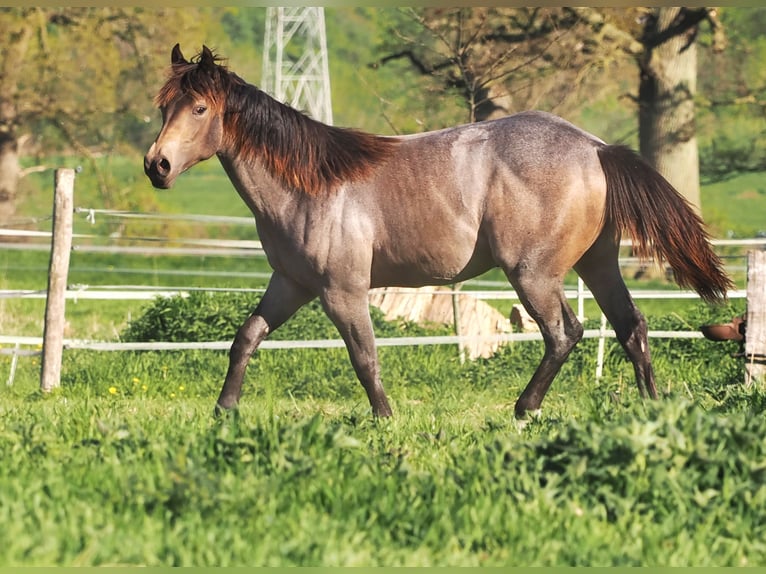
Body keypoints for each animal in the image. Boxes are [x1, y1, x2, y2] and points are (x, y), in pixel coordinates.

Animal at [144, 44, 733, 420]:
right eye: (165, 106)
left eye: (200, 108)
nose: (157, 166)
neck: (313, 186)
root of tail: (594, 147)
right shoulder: (290, 284)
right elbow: (246, 338)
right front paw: (223, 412)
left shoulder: (342, 292)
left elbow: (364, 357)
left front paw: (385, 418)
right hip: (598, 263)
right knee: (631, 327)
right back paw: (651, 408)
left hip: (533, 273)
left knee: (564, 332)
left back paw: (524, 409)